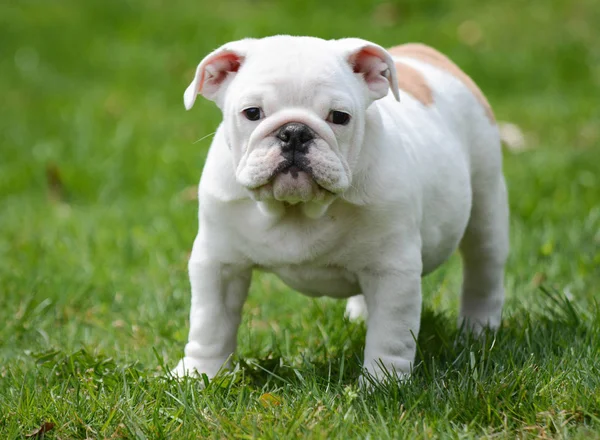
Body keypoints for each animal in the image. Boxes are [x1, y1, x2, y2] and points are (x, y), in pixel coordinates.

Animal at [173, 36, 510, 384]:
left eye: (339, 117)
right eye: (252, 113)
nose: (294, 132)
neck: (298, 208)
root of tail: (422, 52)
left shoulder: (393, 271)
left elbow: (390, 333)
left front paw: (383, 382)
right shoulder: (219, 263)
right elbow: (211, 324)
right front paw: (199, 374)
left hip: (486, 203)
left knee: (483, 270)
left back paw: (479, 331)